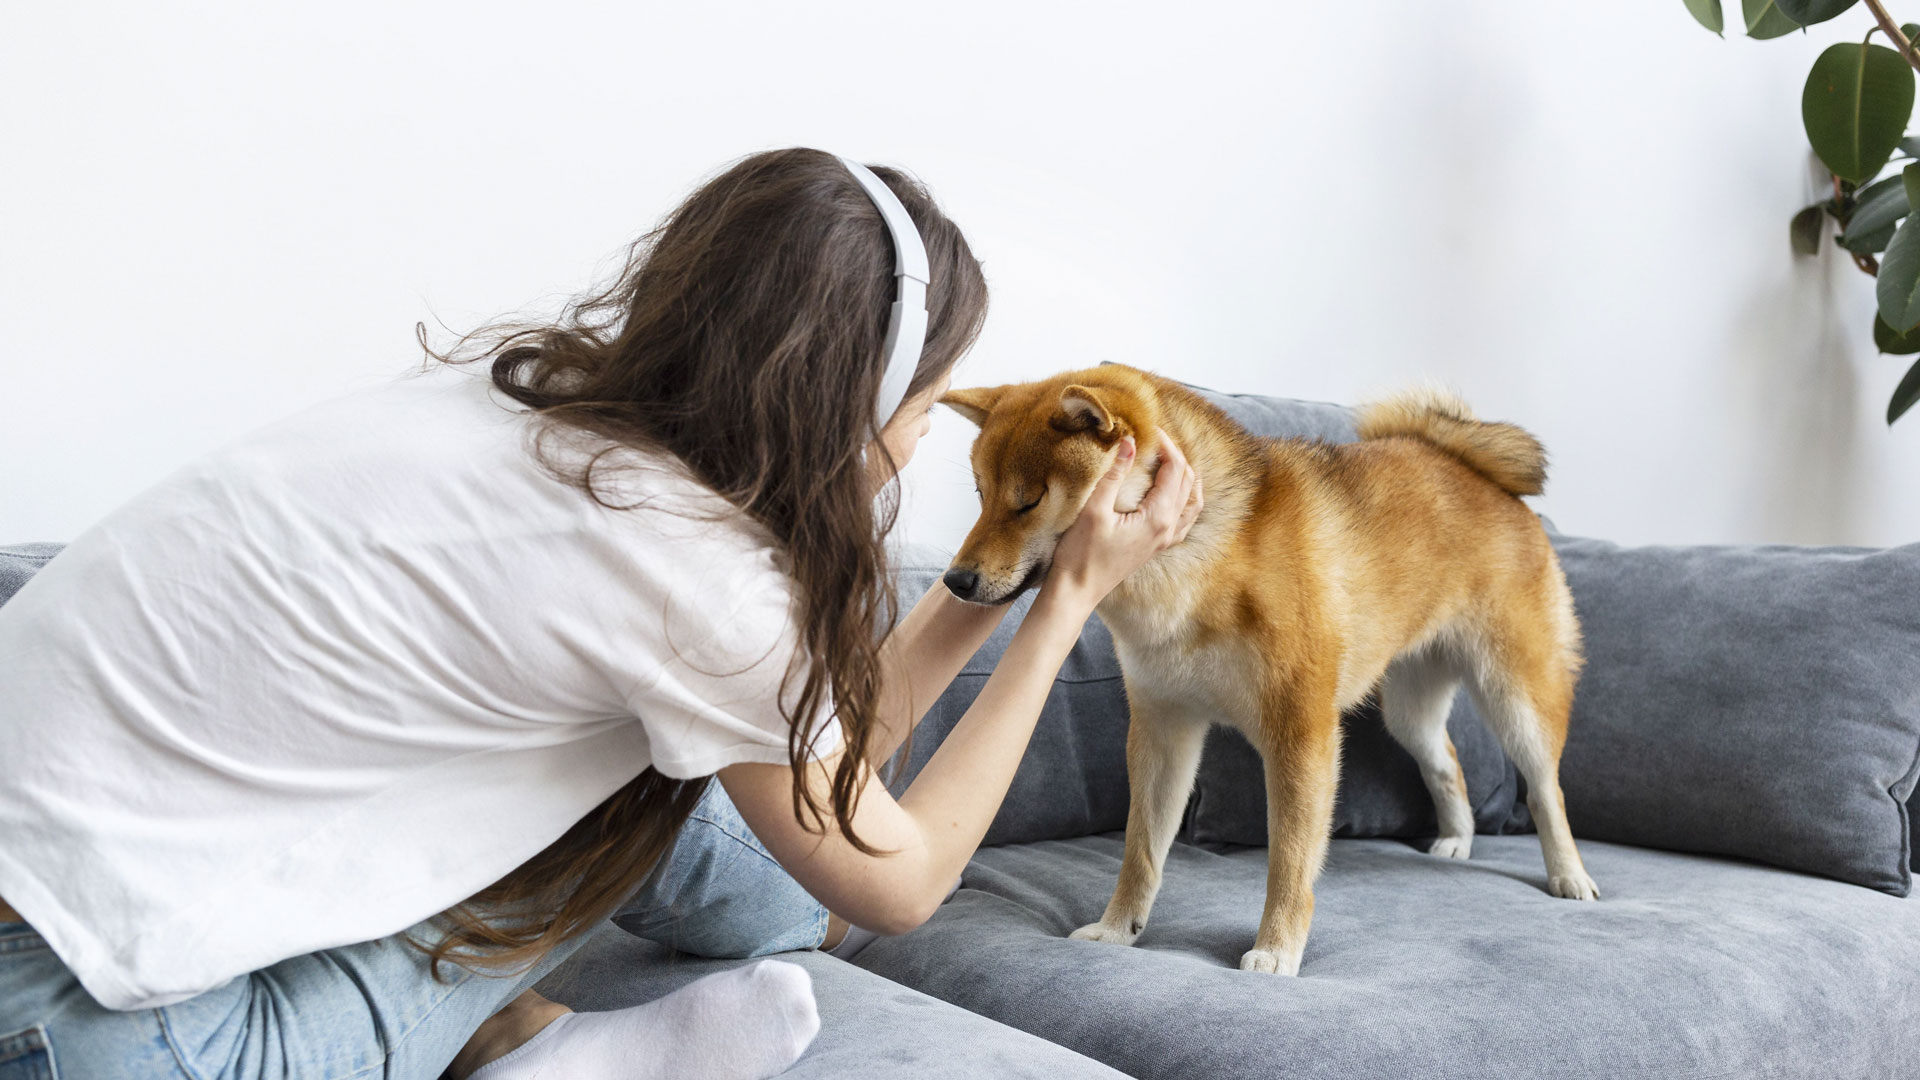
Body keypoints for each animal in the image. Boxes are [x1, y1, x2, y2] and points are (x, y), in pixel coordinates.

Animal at [940, 363, 1589, 976]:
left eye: (1028, 500)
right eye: (981, 493)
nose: (955, 582)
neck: (1193, 559)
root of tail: (1481, 477)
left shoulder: (1300, 735)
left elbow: (1290, 862)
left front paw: (1277, 951)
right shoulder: (1162, 729)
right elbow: (1141, 852)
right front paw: (1118, 928)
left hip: (1516, 697)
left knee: (1547, 790)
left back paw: (1570, 875)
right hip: (1410, 711)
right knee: (1447, 764)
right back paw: (1456, 840)